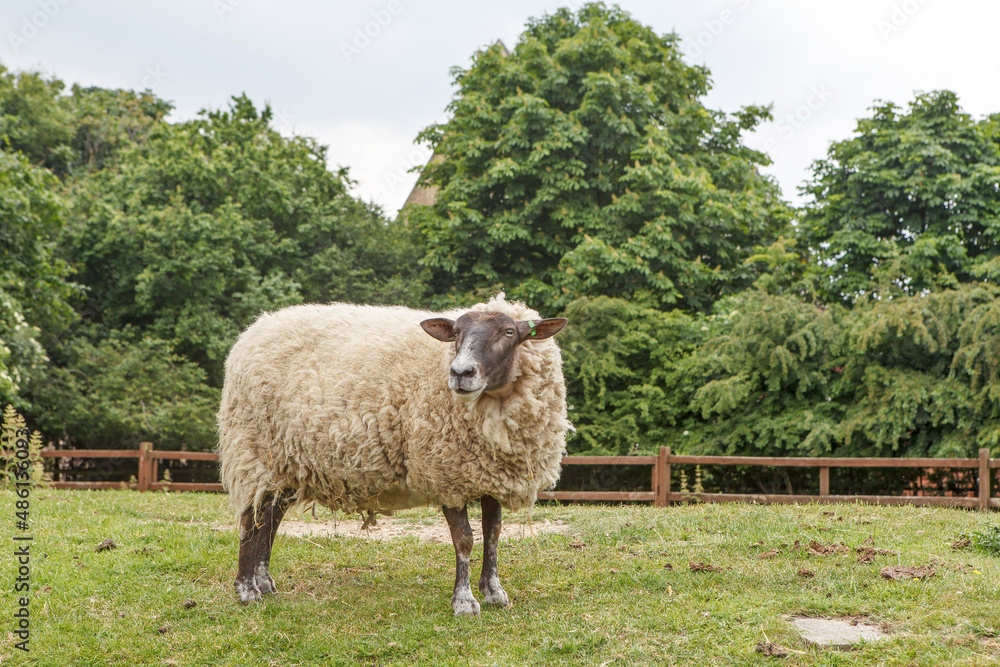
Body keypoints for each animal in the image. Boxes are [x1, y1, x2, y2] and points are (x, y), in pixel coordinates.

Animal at [217, 294, 572, 620]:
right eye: (456, 333)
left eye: (509, 332)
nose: (460, 372)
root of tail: (255, 329)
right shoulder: (443, 471)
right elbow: (464, 540)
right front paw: (464, 601)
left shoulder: (490, 476)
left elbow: (494, 535)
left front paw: (494, 591)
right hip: (253, 451)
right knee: (249, 519)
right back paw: (246, 590)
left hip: (287, 464)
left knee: (269, 518)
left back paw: (264, 582)